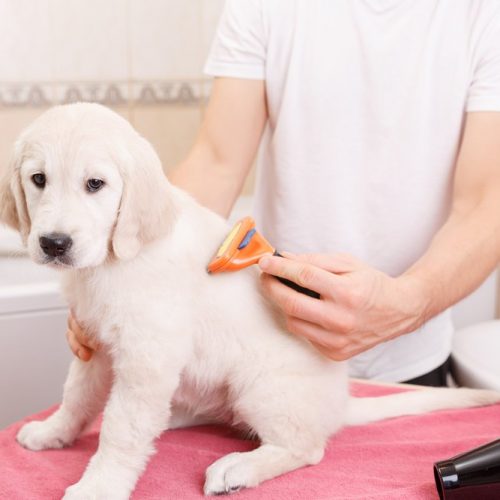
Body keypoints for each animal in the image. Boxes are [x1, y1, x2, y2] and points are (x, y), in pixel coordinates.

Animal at [1, 103, 498, 498]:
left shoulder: (146, 358)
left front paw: (98, 486)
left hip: (260, 385)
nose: (54, 243)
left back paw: (239, 467)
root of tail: (339, 406)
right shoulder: (96, 347)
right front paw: (53, 432)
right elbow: (77, 397)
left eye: (95, 184)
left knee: (306, 447)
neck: (112, 262)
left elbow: (121, 430)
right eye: (38, 179)